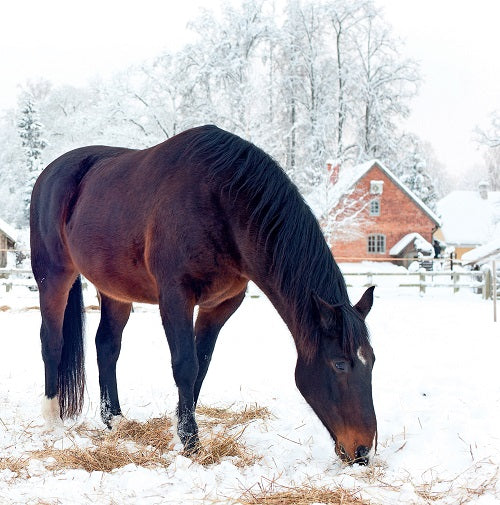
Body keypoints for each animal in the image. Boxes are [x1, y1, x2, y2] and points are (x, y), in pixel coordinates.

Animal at [30, 124, 376, 462]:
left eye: (371, 360)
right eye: (339, 364)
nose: (361, 451)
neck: (221, 201)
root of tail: (50, 174)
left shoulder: (221, 305)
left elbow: (202, 365)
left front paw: (180, 430)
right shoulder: (175, 297)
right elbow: (185, 365)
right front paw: (191, 442)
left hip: (115, 289)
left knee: (107, 346)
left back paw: (115, 419)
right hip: (54, 276)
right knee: (51, 341)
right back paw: (52, 420)